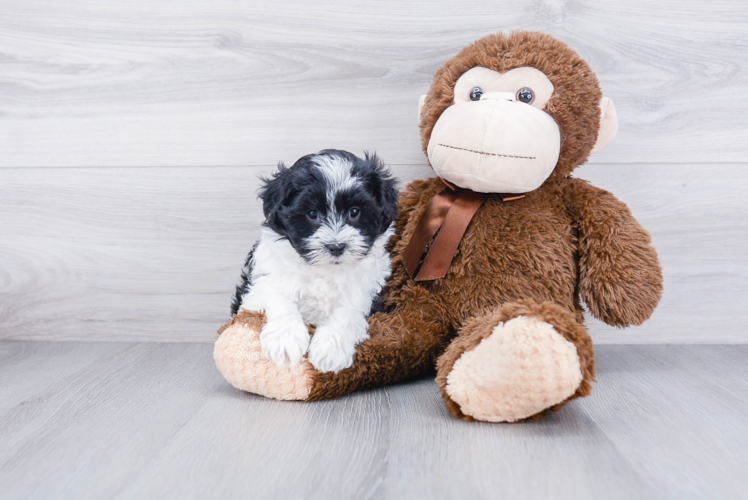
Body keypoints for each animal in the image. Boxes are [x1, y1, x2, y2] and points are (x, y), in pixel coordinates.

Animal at [232, 150, 398, 374]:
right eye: (312, 213)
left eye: (354, 212)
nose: (336, 246)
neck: (324, 271)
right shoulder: (261, 284)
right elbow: (278, 299)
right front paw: (284, 339)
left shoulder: (367, 294)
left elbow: (347, 312)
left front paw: (330, 349)